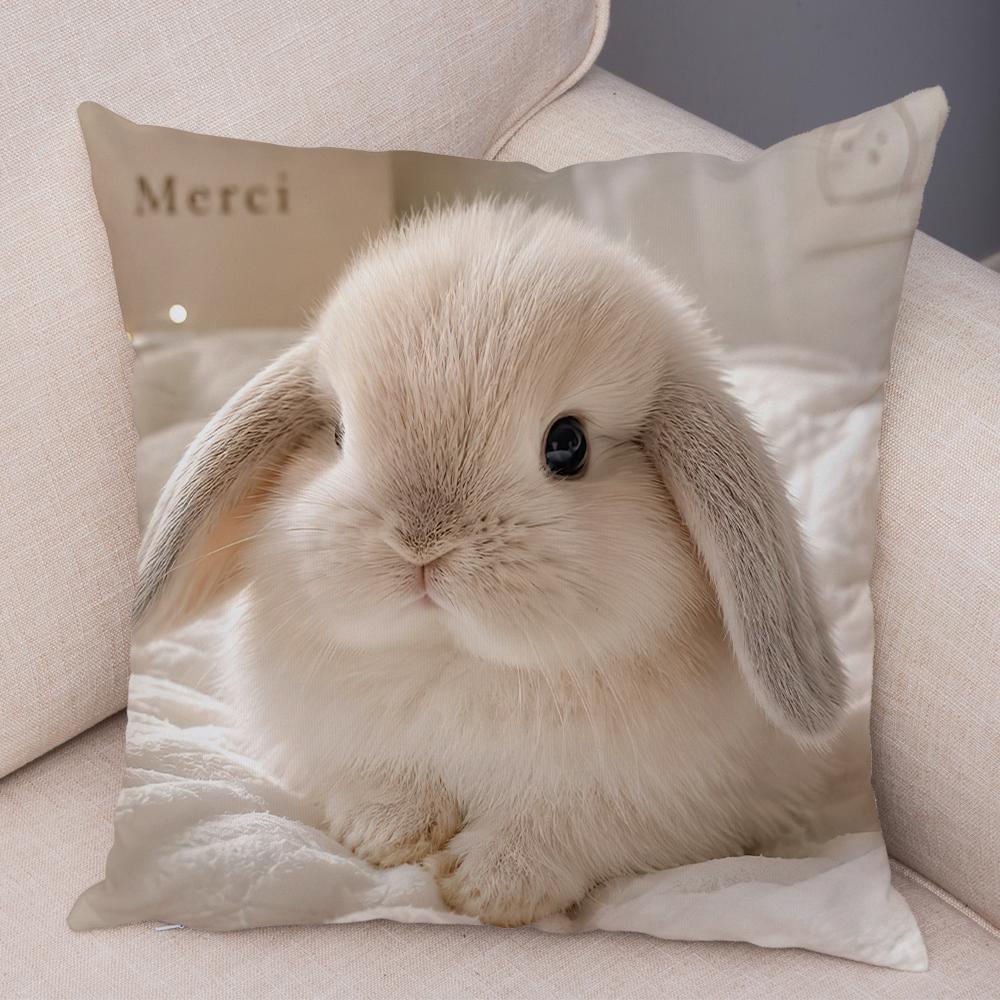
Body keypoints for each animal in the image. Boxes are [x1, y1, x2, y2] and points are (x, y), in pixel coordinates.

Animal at [134, 199, 848, 927]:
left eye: (568, 445)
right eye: (337, 435)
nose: (421, 543)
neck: (455, 659)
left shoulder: (666, 808)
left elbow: (567, 831)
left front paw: (490, 887)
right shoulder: (327, 749)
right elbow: (371, 785)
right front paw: (390, 834)